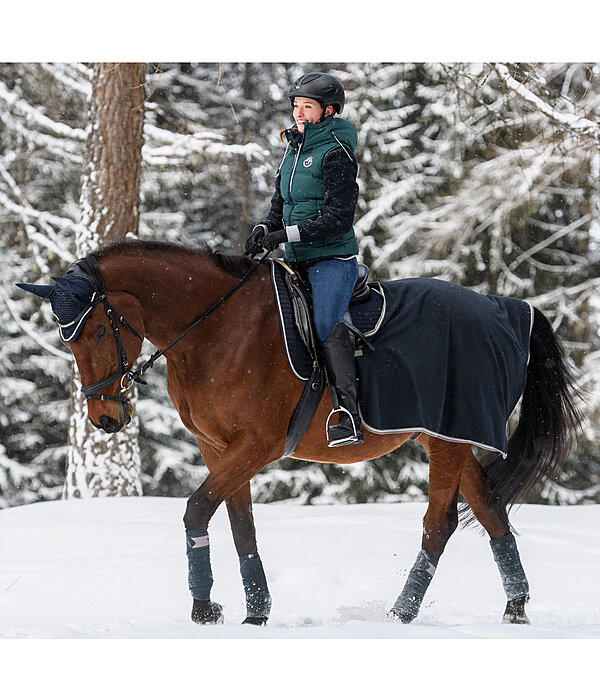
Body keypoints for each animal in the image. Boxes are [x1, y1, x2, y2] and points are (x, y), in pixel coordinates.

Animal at [21, 242, 584, 628]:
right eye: (66, 340)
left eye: (98, 331)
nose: (105, 418)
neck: (215, 329)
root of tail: (506, 308)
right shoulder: (218, 447)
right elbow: (240, 526)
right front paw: (253, 611)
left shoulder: (256, 445)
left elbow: (197, 509)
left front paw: (204, 608)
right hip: (446, 435)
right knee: (490, 512)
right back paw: (515, 607)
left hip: (448, 439)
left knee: (440, 523)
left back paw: (401, 614)